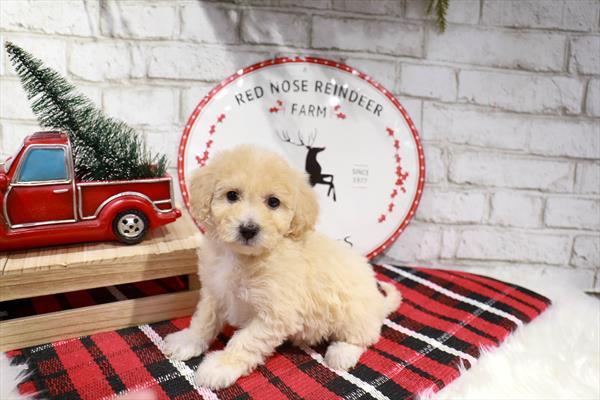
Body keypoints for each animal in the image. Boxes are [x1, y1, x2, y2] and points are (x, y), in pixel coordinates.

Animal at [162, 145, 400, 390]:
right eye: (232, 195)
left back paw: (341, 353)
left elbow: (244, 341)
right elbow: (204, 319)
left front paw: (220, 367)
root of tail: (378, 301)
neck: (243, 257)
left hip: (354, 313)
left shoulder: (275, 314)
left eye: (273, 202)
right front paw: (187, 340)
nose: (249, 229)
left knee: (364, 337)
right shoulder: (214, 290)